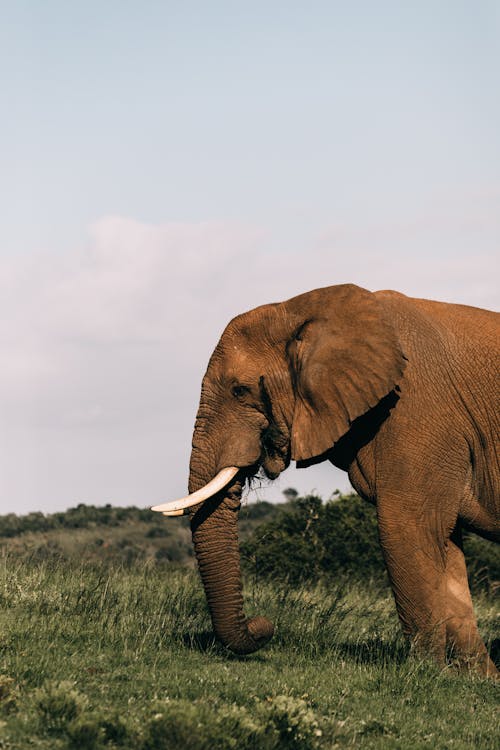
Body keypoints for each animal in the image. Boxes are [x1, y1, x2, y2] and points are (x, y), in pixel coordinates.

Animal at [154, 284, 498, 680]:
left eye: (240, 390)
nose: (264, 626)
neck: (300, 309)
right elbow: (445, 545)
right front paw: (477, 680)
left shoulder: (418, 409)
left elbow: (407, 527)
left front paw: (424, 673)